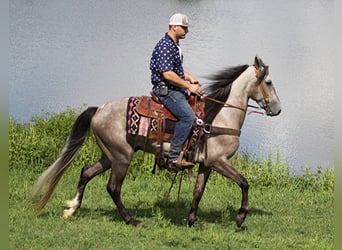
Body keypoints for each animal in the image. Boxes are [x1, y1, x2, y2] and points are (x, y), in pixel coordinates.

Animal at [31, 55, 280, 229]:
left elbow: (198, 191)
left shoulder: (207, 164)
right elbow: (244, 182)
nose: (277, 109)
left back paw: (72, 209)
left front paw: (192, 220)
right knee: (113, 187)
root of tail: (99, 109)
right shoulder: (219, 161)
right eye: (268, 82)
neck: (219, 116)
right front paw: (240, 217)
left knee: (86, 172)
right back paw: (131, 220)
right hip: (121, 157)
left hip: (109, 155)